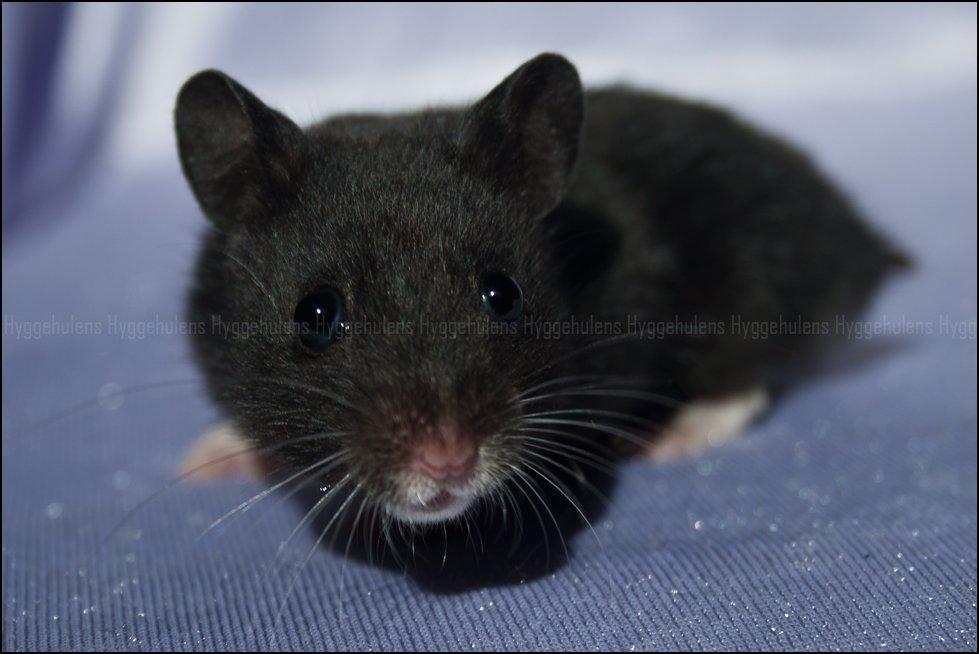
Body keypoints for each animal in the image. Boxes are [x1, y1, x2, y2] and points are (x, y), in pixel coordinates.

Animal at [175, 53, 906, 555]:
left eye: (503, 295)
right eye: (315, 315)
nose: (447, 460)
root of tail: (861, 236)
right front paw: (203, 463)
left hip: (751, 285)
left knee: (744, 379)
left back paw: (666, 439)